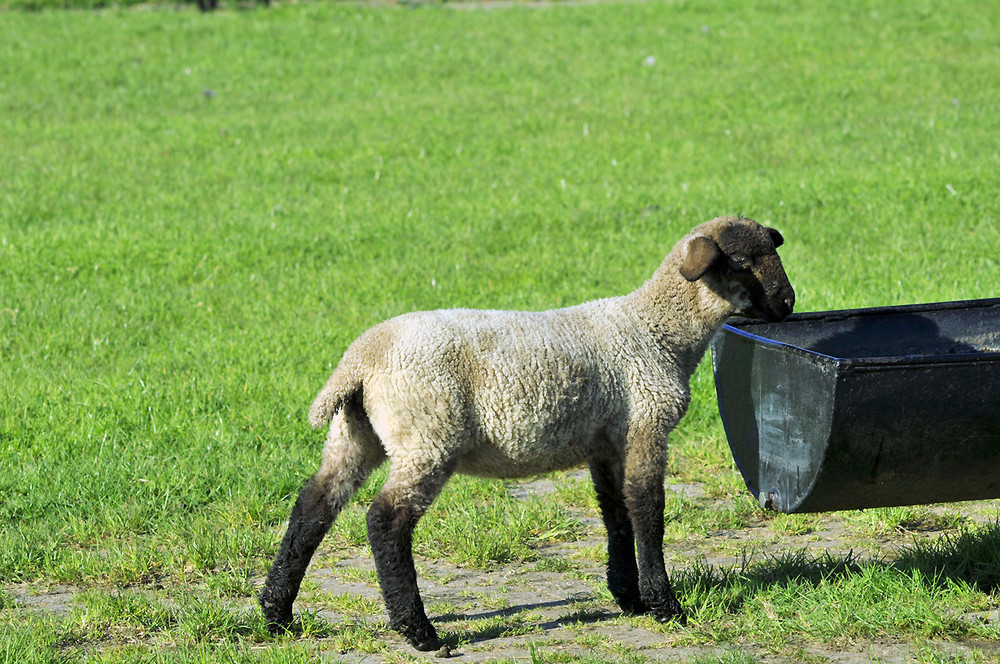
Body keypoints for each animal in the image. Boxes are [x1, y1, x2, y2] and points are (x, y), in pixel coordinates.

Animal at [260, 215, 796, 652]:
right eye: (743, 262)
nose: (789, 302)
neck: (656, 330)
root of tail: (361, 359)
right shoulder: (646, 424)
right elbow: (648, 512)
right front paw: (665, 606)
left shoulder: (606, 442)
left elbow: (617, 515)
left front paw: (628, 597)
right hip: (428, 434)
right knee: (385, 520)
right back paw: (419, 632)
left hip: (356, 433)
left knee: (313, 505)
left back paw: (276, 614)